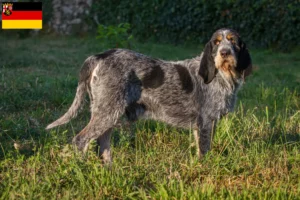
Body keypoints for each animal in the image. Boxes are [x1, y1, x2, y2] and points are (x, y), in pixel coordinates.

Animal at [45, 28, 252, 164]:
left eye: (233, 41)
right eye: (216, 42)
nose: (224, 53)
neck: (222, 75)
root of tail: (100, 56)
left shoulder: (203, 125)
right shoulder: (206, 122)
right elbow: (204, 151)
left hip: (107, 112)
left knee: (103, 143)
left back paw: (110, 169)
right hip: (107, 112)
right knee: (81, 140)